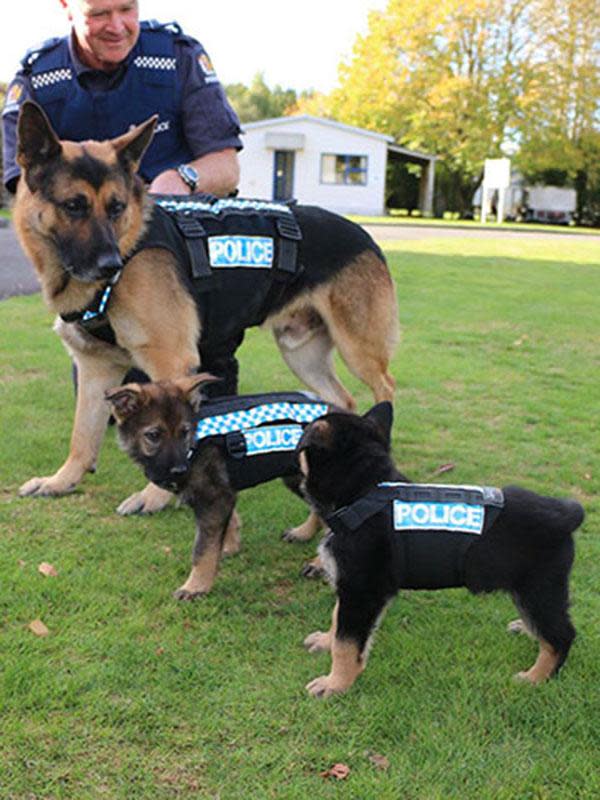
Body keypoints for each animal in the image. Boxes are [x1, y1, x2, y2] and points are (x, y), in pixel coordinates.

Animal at [106, 378, 330, 596]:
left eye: (184, 433)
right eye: (153, 435)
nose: (180, 470)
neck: (194, 445)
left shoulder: (214, 498)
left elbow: (202, 550)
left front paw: (195, 586)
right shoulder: (221, 497)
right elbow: (226, 526)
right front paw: (228, 548)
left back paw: (319, 563)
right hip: (295, 478)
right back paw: (303, 533)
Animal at [298, 404, 584, 696]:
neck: (364, 492)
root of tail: (567, 514)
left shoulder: (362, 591)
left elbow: (347, 644)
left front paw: (334, 684)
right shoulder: (351, 588)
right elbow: (337, 620)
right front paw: (325, 641)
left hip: (538, 588)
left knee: (561, 635)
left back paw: (536, 677)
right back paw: (526, 630)